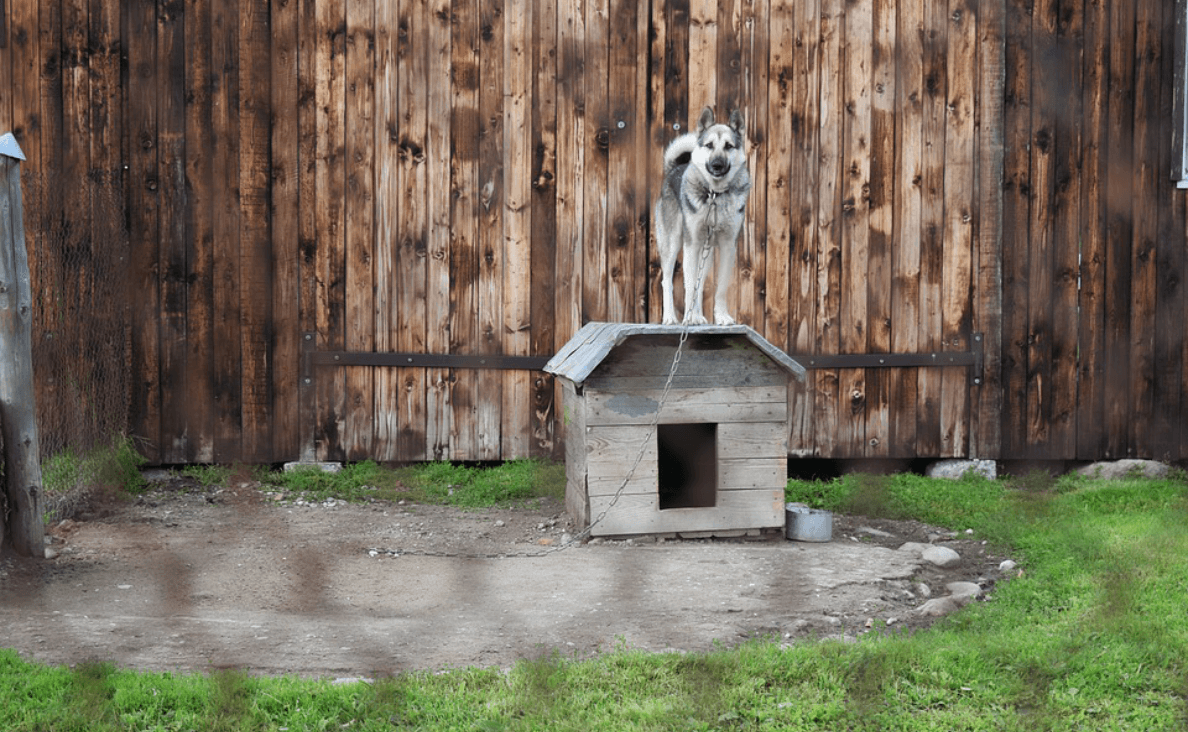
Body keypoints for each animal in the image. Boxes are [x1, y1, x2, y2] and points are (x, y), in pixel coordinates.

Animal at [651, 106, 750, 325]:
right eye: (709, 145)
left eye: (729, 146)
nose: (717, 165)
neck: (715, 195)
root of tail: (674, 168)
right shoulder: (692, 244)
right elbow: (688, 287)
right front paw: (689, 318)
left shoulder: (728, 246)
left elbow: (719, 289)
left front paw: (722, 317)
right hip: (672, 245)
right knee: (667, 281)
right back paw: (671, 317)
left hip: (707, 253)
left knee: (700, 283)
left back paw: (697, 315)